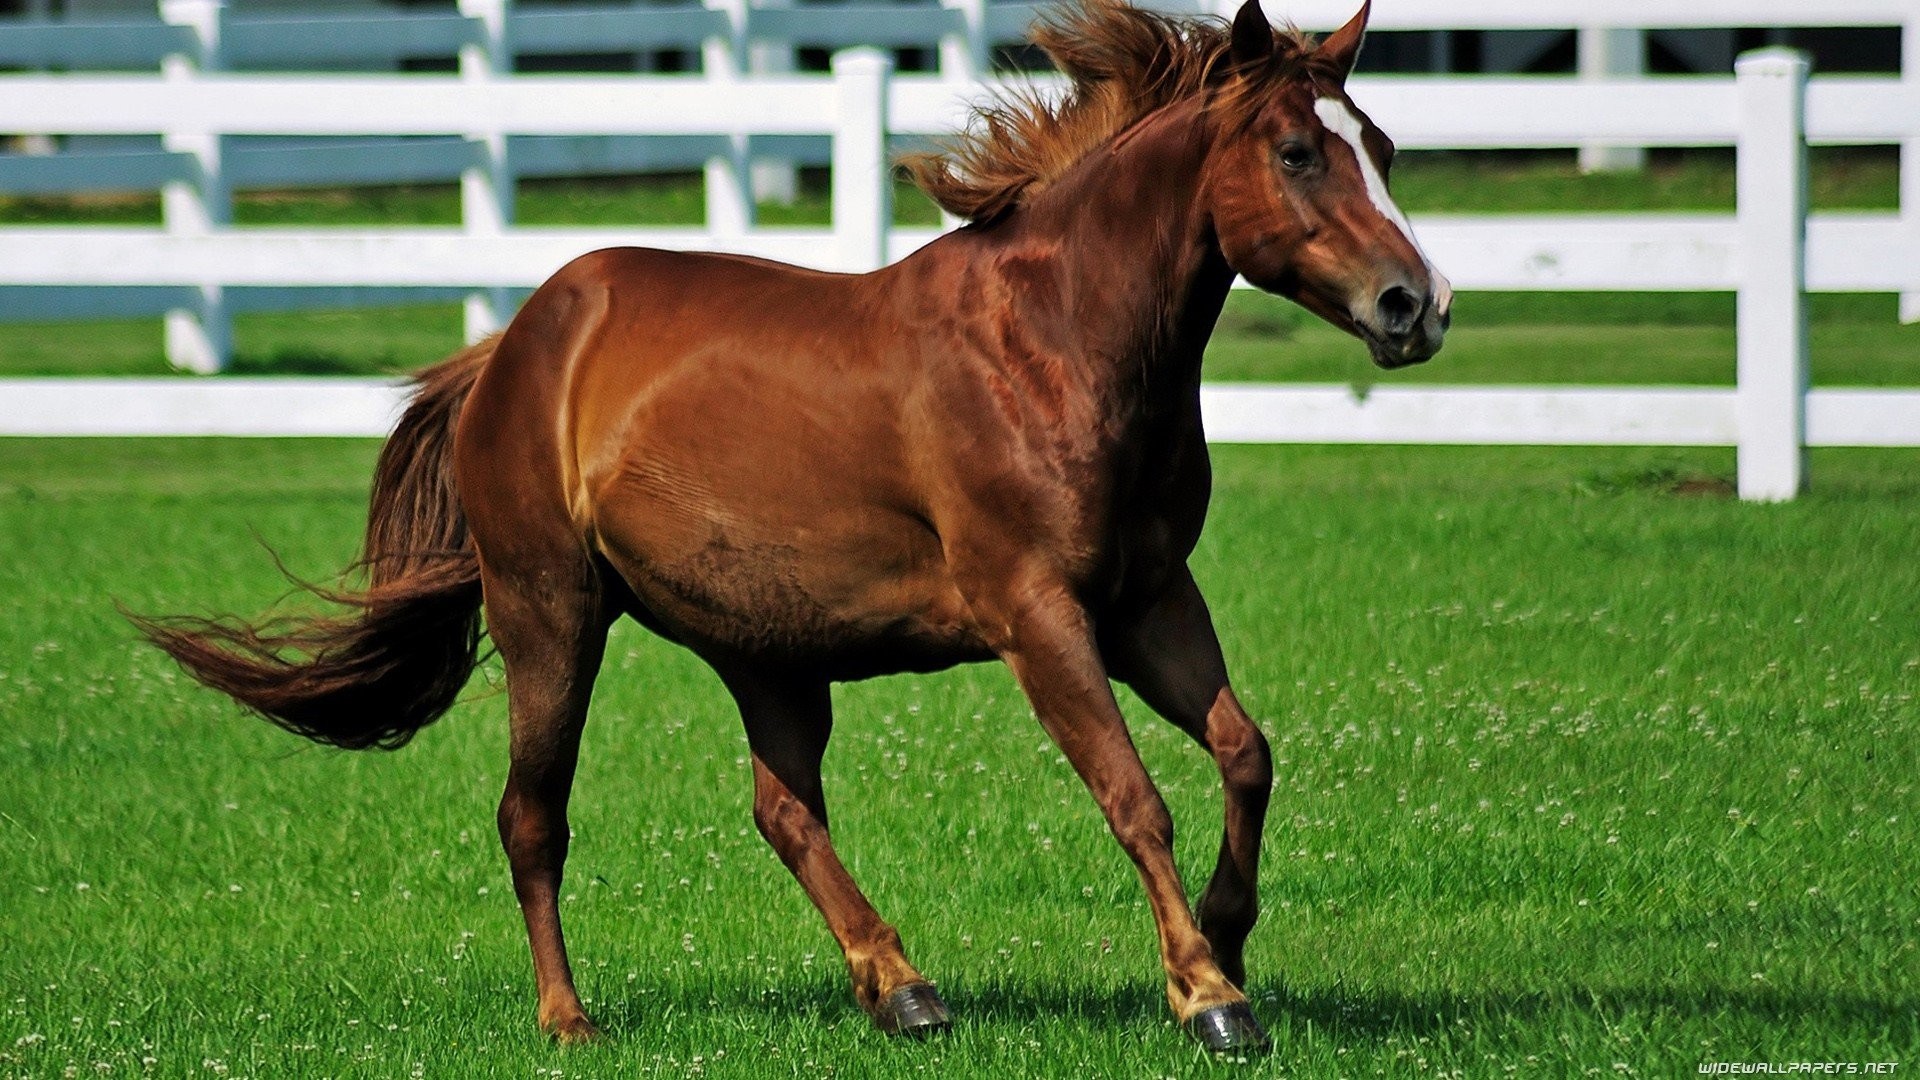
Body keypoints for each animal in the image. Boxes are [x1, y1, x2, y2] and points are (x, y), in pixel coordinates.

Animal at [139, 0, 1443, 1045]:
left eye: (1381, 148)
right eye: (1295, 152)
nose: (1415, 305)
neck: (1056, 343)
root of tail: (514, 343)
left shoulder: (1150, 600)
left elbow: (1244, 750)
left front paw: (1227, 936)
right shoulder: (1039, 615)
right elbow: (1135, 796)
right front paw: (1208, 997)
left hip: (766, 649)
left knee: (782, 811)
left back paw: (902, 987)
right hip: (550, 614)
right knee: (533, 817)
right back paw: (571, 1019)